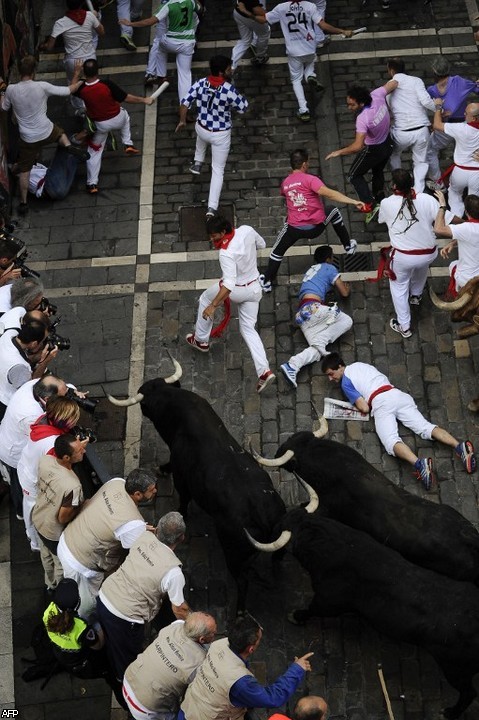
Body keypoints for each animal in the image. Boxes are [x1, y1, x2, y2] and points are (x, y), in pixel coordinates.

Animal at [136, 380, 284, 612]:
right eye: (155, 384)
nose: (141, 388)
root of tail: (260, 511)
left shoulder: (182, 477)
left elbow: (183, 499)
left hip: (233, 552)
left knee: (242, 580)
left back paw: (239, 610)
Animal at [270, 510, 479, 716]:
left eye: (285, 525)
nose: (278, 520)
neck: (330, 542)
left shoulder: (329, 599)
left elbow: (313, 608)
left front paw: (296, 615)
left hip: (455, 668)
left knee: (469, 692)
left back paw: (451, 712)